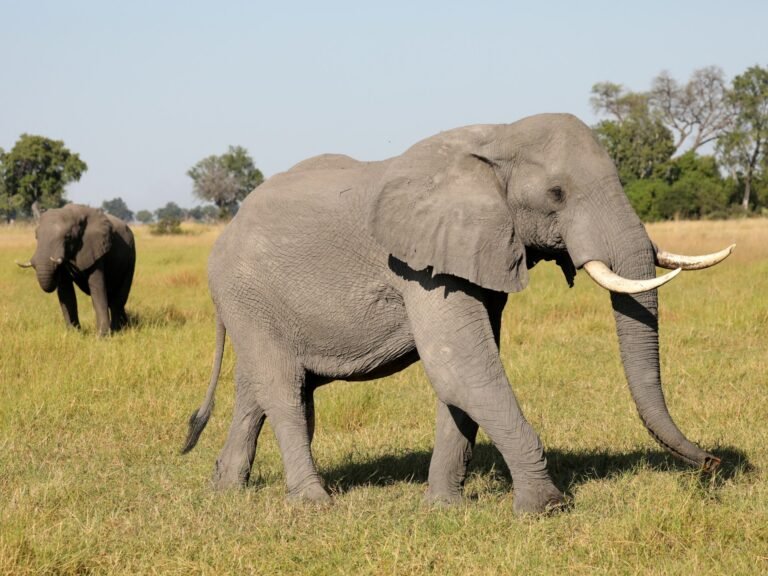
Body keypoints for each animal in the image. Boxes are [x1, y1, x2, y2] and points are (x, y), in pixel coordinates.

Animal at [17, 204, 136, 336]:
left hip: (131, 258)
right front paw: (73, 334)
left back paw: (117, 330)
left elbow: (98, 290)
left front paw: (101, 336)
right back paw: (125, 326)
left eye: (68, 237)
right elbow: (66, 292)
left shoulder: (96, 248)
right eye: (36, 236)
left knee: (118, 299)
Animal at [183, 112, 736, 512]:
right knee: (283, 389)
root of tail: (226, 231)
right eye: (557, 194)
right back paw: (314, 505)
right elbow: (461, 367)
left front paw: (443, 509)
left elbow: (464, 378)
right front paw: (545, 509)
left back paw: (225, 490)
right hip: (245, 292)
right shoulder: (420, 265)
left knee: (264, 387)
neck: (498, 138)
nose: (713, 463)